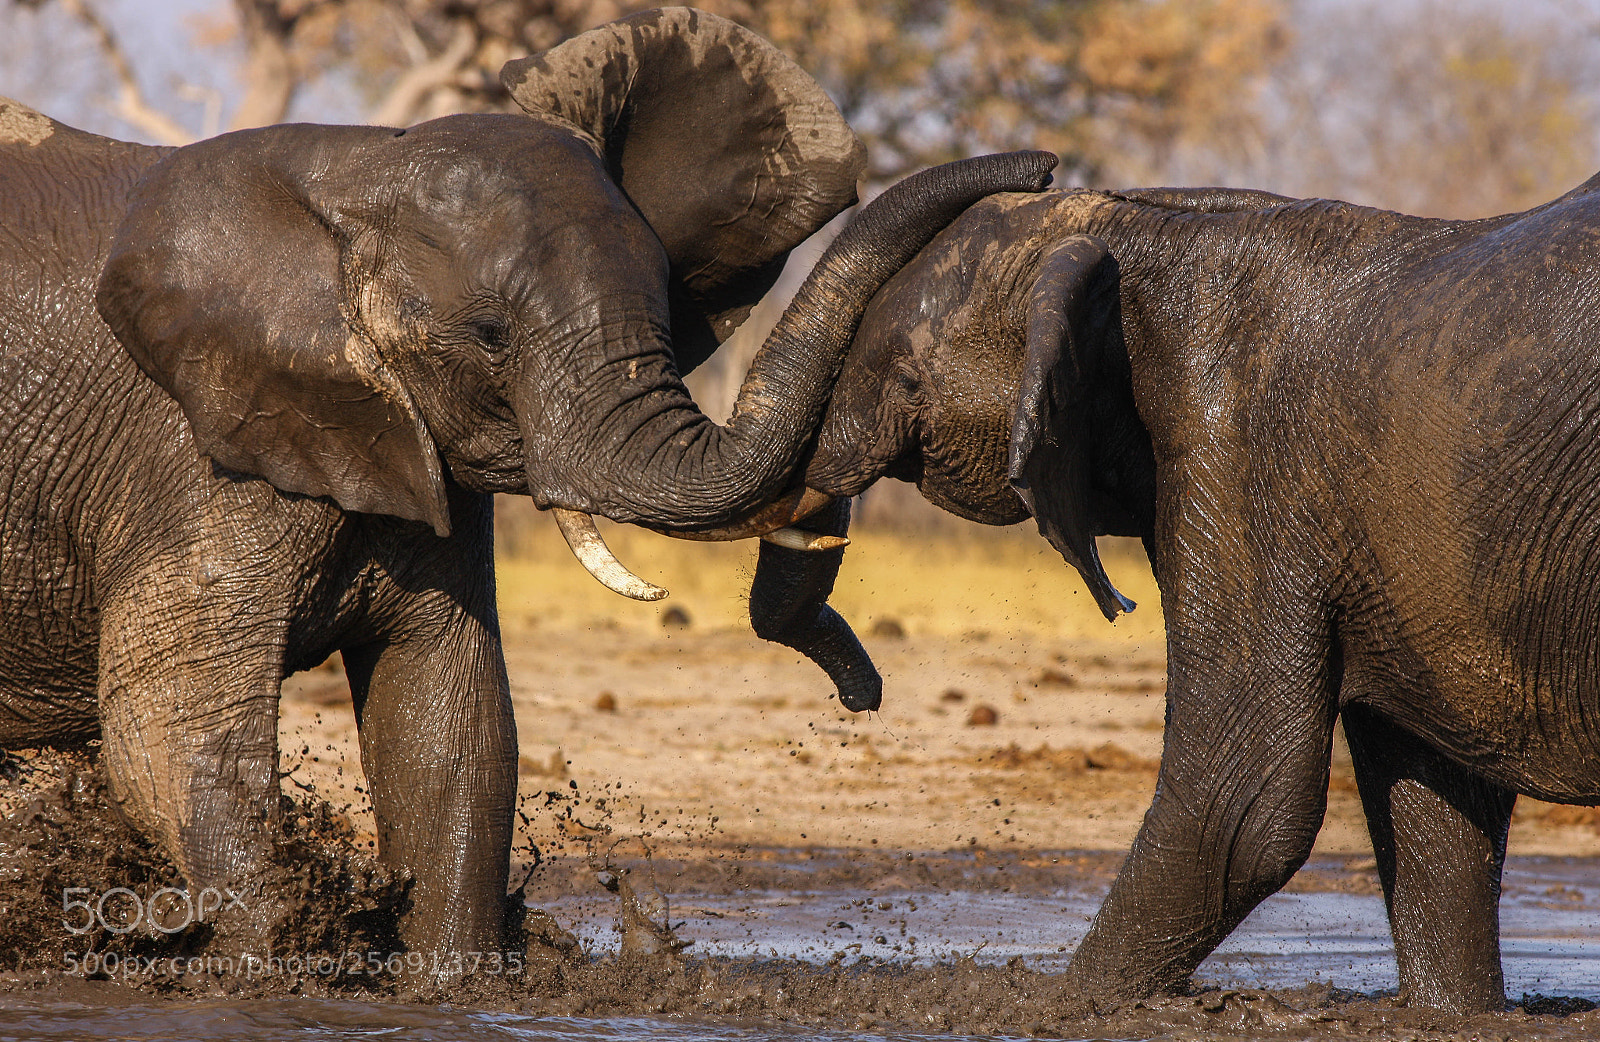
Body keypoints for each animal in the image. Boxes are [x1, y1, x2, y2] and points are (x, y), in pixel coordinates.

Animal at [3, 4, 1062, 960]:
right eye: (489, 336)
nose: (1044, 168)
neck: (349, 170)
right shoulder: (197, 451)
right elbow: (173, 737)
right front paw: (279, 975)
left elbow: (451, 727)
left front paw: (456, 982)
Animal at [748, 175, 1600, 1017]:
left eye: (904, 378)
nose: (864, 700)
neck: (1150, 232)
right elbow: (1437, 808)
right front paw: (1454, 1015)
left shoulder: (1240, 459)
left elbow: (1239, 803)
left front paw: (1059, 1008)